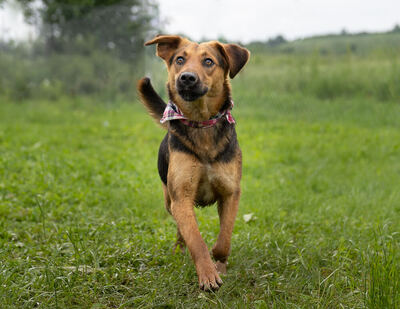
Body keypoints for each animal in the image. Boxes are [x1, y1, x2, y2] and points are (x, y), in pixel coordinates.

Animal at [138, 35, 250, 290]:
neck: (201, 123)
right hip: (169, 200)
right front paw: (207, 275)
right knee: (181, 231)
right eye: (180, 59)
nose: (187, 78)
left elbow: (224, 240)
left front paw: (219, 263)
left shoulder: (230, 193)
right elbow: (196, 241)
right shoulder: (181, 197)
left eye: (208, 62)